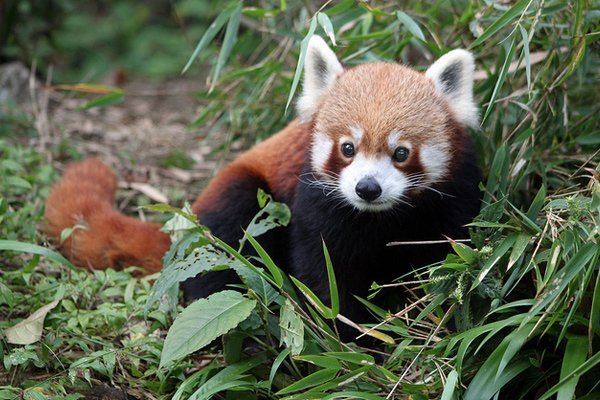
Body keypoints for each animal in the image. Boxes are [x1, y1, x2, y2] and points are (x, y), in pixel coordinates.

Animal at [43, 35, 482, 324]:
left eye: (401, 153)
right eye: (347, 148)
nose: (367, 188)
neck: (380, 218)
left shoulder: (452, 198)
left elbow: (450, 261)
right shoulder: (315, 202)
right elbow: (323, 275)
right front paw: (348, 337)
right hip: (242, 196)